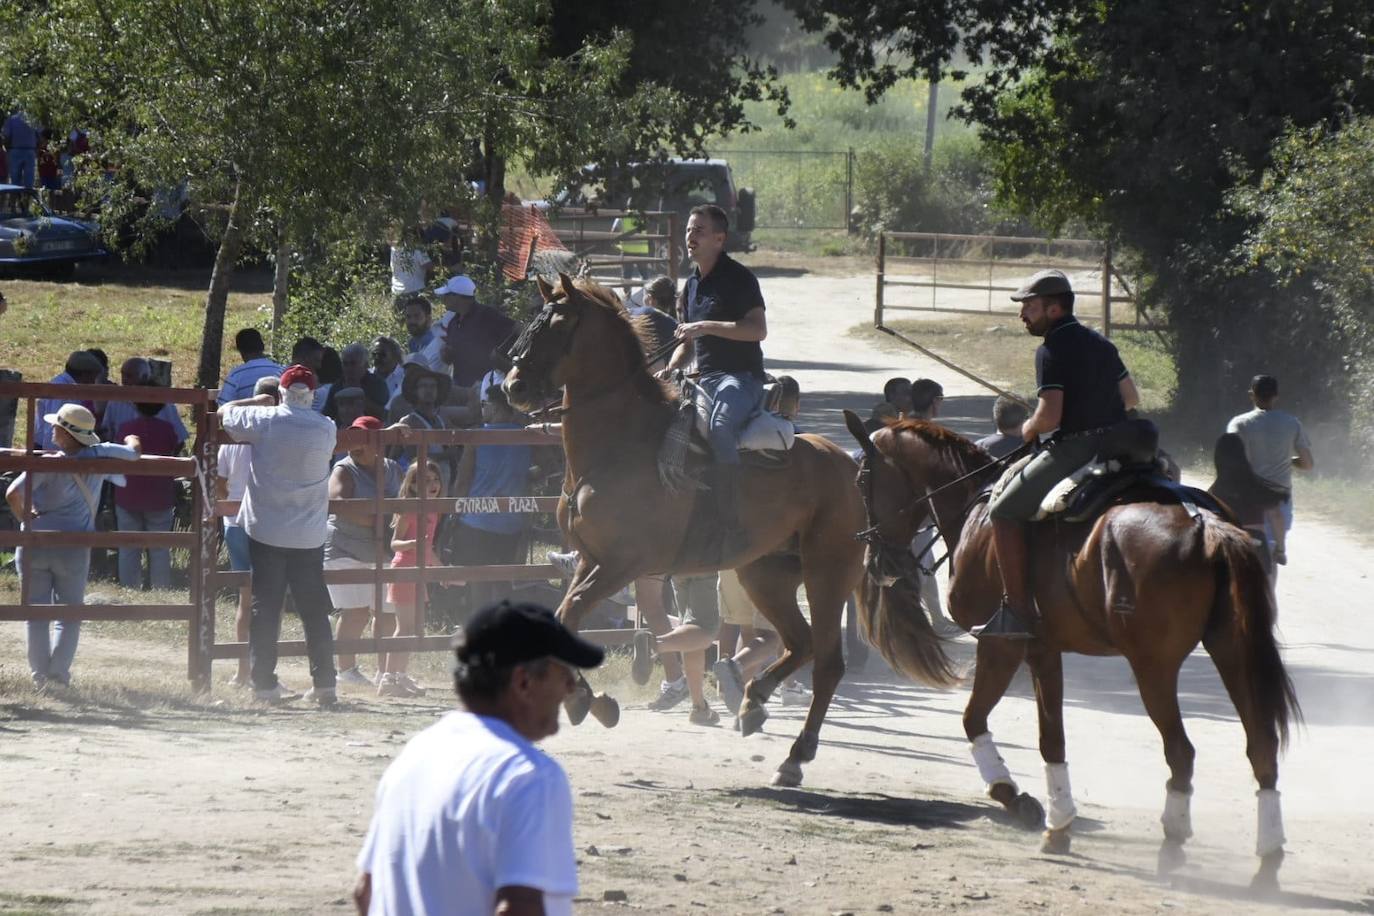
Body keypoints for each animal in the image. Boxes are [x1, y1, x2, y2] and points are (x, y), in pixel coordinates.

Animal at [502, 274, 868, 791]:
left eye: (556, 326)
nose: (512, 386)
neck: (621, 445)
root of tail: (849, 465)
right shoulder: (590, 560)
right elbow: (563, 616)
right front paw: (594, 701)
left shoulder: (623, 564)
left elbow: (571, 612)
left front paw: (585, 700)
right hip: (766, 575)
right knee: (801, 643)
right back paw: (753, 702)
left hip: (827, 577)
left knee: (828, 661)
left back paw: (795, 756)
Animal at [840, 411, 1302, 889]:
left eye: (861, 478)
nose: (875, 559)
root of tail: (1204, 525)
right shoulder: (1043, 648)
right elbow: (1052, 738)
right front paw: (1057, 824)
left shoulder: (1000, 644)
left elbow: (976, 720)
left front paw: (1015, 797)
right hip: (1233, 652)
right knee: (1262, 747)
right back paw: (1267, 863)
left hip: (1153, 667)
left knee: (1181, 752)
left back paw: (1172, 849)